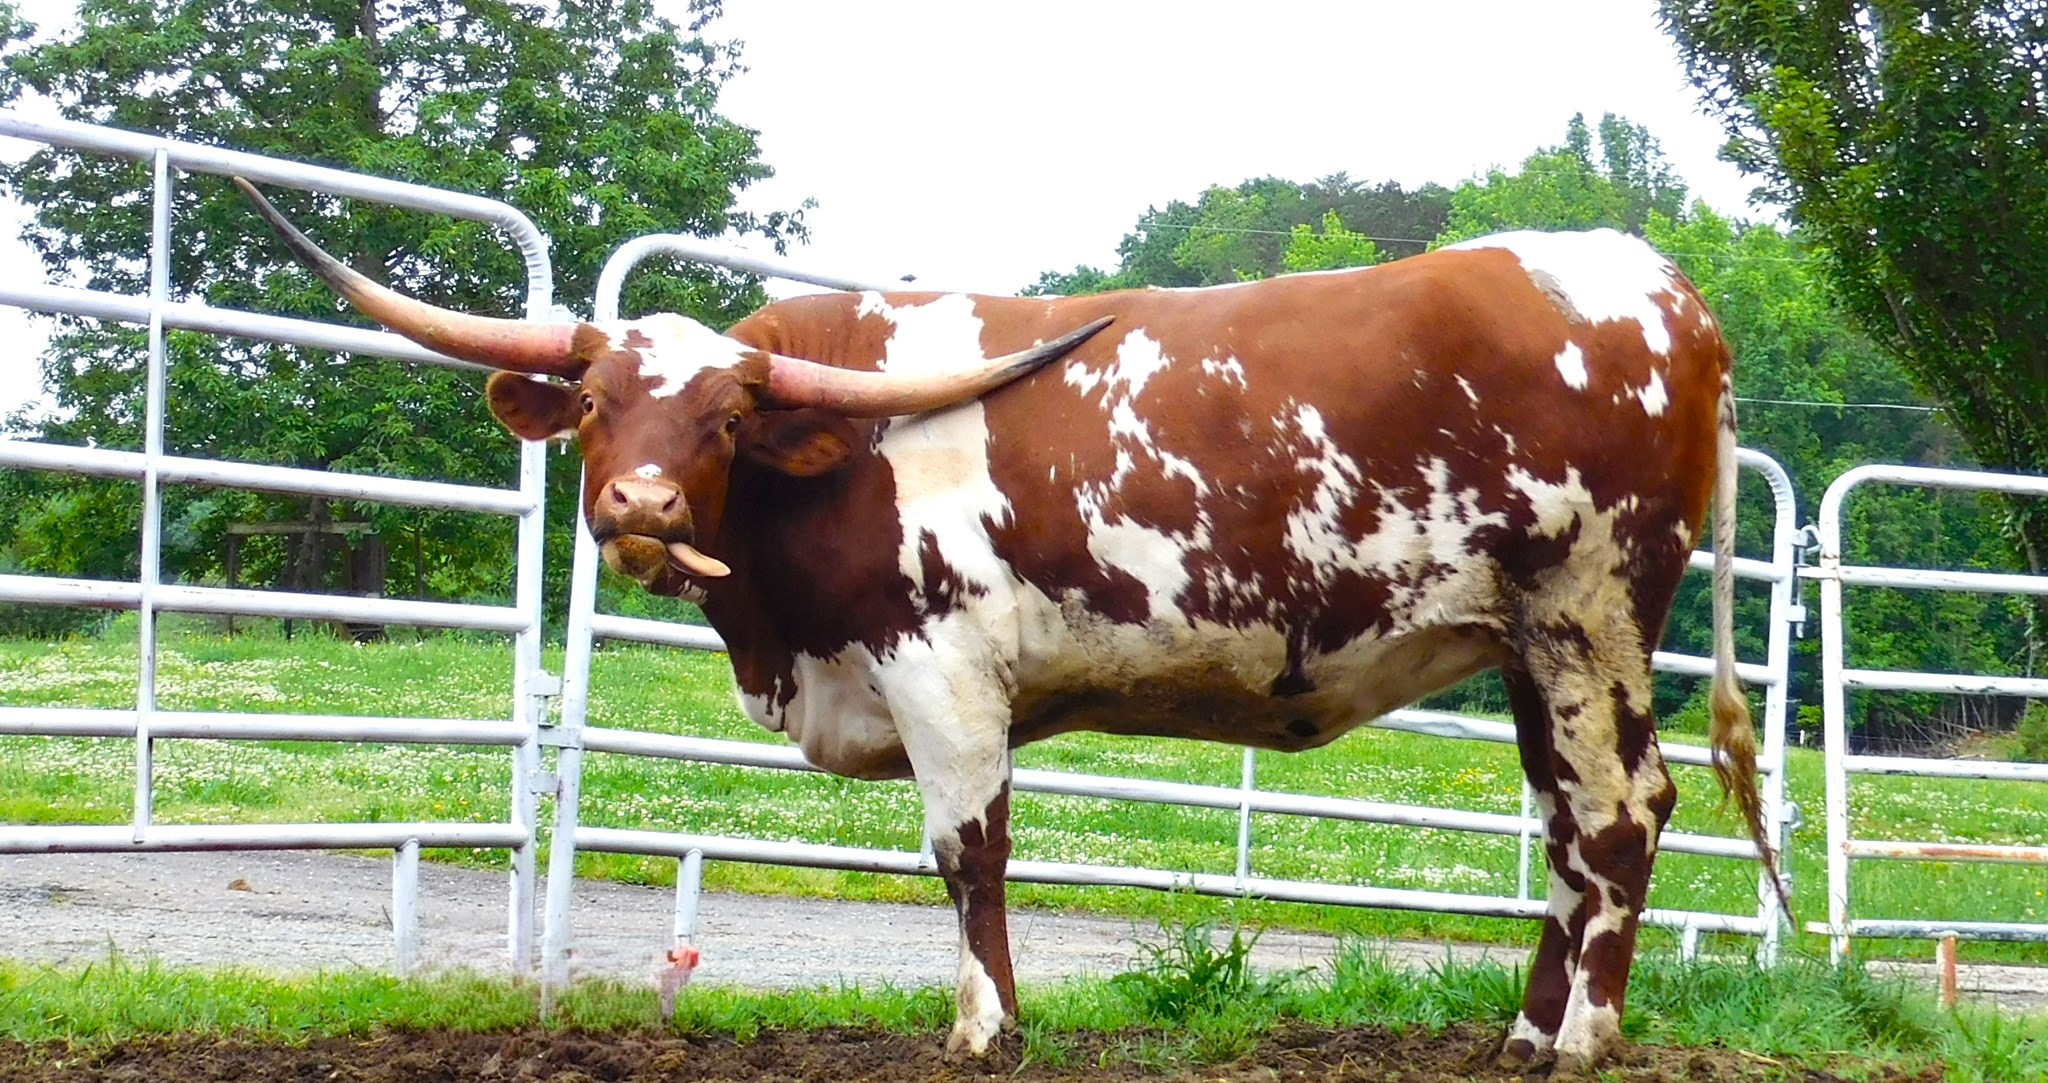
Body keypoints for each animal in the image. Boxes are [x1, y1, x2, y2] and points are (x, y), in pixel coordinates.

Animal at [236, 178, 1780, 1075]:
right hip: (1528, 641)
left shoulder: (941, 667)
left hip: (1588, 615)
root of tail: (1666, 294)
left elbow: (967, 852)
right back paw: (1522, 1029)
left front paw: (985, 1024)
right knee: (1571, 831)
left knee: (1620, 813)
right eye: (602, 405)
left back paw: (1584, 1036)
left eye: (725, 417)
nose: (640, 504)